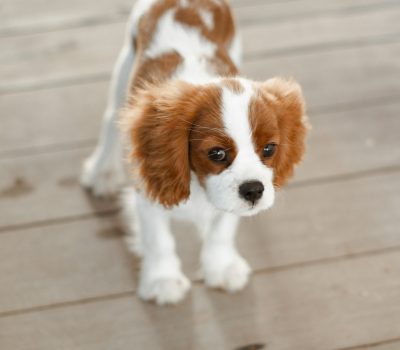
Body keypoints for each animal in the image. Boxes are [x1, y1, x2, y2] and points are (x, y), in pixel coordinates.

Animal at [79, 0, 308, 304]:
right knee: (111, 121)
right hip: (124, 69)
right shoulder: (149, 187)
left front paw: (221, 267)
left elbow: (222, 229)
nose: (254, 191)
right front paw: (163, 280)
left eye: (269, 149)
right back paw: (102, 173)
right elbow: (159, 239)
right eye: (217, 154)